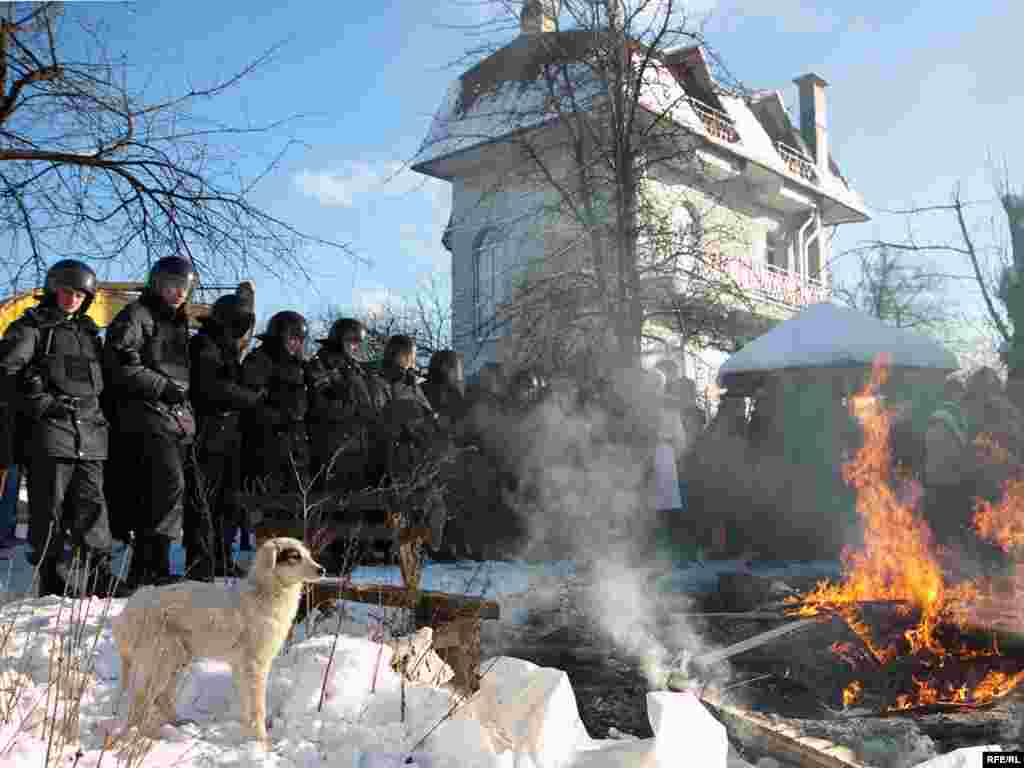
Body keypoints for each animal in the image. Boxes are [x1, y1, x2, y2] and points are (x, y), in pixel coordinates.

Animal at [111, 536, 321, 741]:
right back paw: (137, 736)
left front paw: (249, 737)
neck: (265, 593)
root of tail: (130, 607)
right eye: (295, 556)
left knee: (160, 696)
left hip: (177, 659)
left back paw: (177, 724)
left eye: (308, 554)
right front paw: (261, 742)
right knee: (142, 698)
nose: (322, 569)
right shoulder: (255, 665)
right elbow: (257, 708)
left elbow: (247, 706)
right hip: (165, 657)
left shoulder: (241, 668)